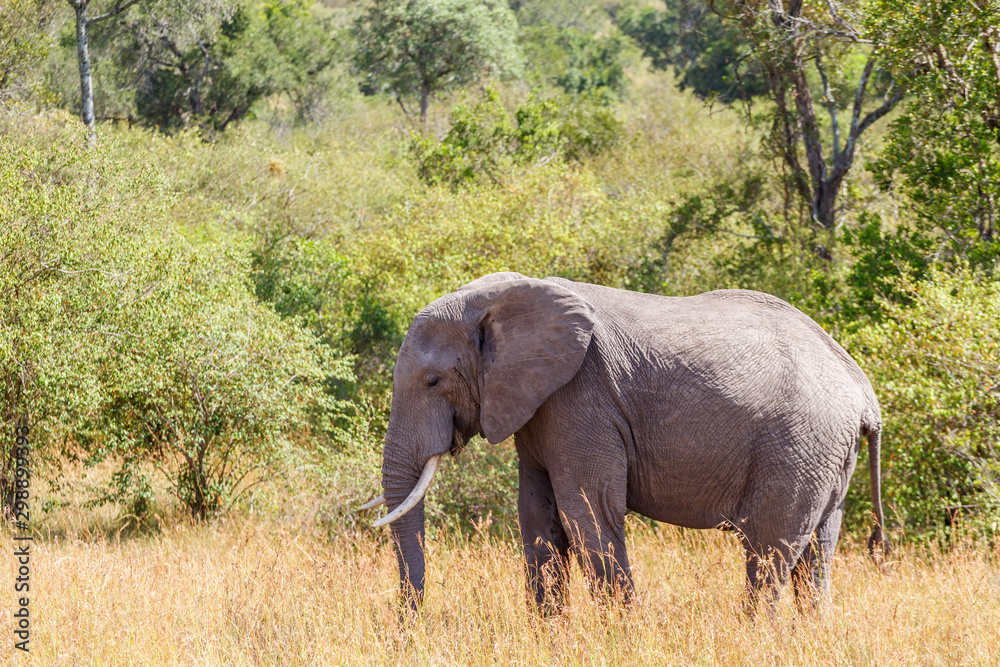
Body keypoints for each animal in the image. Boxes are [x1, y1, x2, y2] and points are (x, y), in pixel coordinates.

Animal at [362, 272, 892, 616]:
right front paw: (550, 637)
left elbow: (588, 510)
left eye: (433, 381)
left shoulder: (581, 397)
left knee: (768, 550)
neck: (501, 297)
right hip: (825, 453)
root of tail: (863, 389)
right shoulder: (539, 404)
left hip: (799, 446)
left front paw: (617, 634)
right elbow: (537, 514)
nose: (410, 623)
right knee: (816, 554)